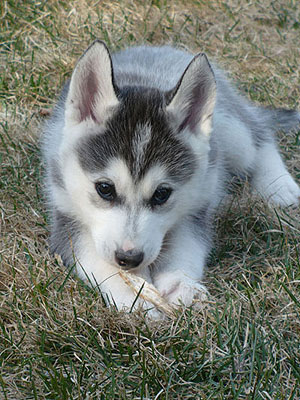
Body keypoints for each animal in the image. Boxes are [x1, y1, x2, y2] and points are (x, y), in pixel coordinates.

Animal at [42, 40, 300, 312]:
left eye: (162, 194)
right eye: (104, 188)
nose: (128, 258)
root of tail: (156, 48)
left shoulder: (195, 208)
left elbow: (186, 247)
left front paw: (180, 283)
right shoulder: (66, 215)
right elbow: (98, 261)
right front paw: (133, 295)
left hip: (230, 129)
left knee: (259, 134)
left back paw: (279, 185)